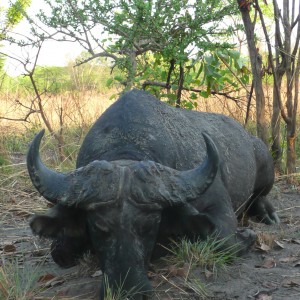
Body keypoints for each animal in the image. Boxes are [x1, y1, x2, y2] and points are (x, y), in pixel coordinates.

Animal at [26, 88, 278, 298]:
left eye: (149, 226)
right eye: (98, 227)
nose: (129, 290)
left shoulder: (217, 207)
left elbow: (222, 241)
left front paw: (248, 236)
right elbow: (60, 252)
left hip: (265, 164)